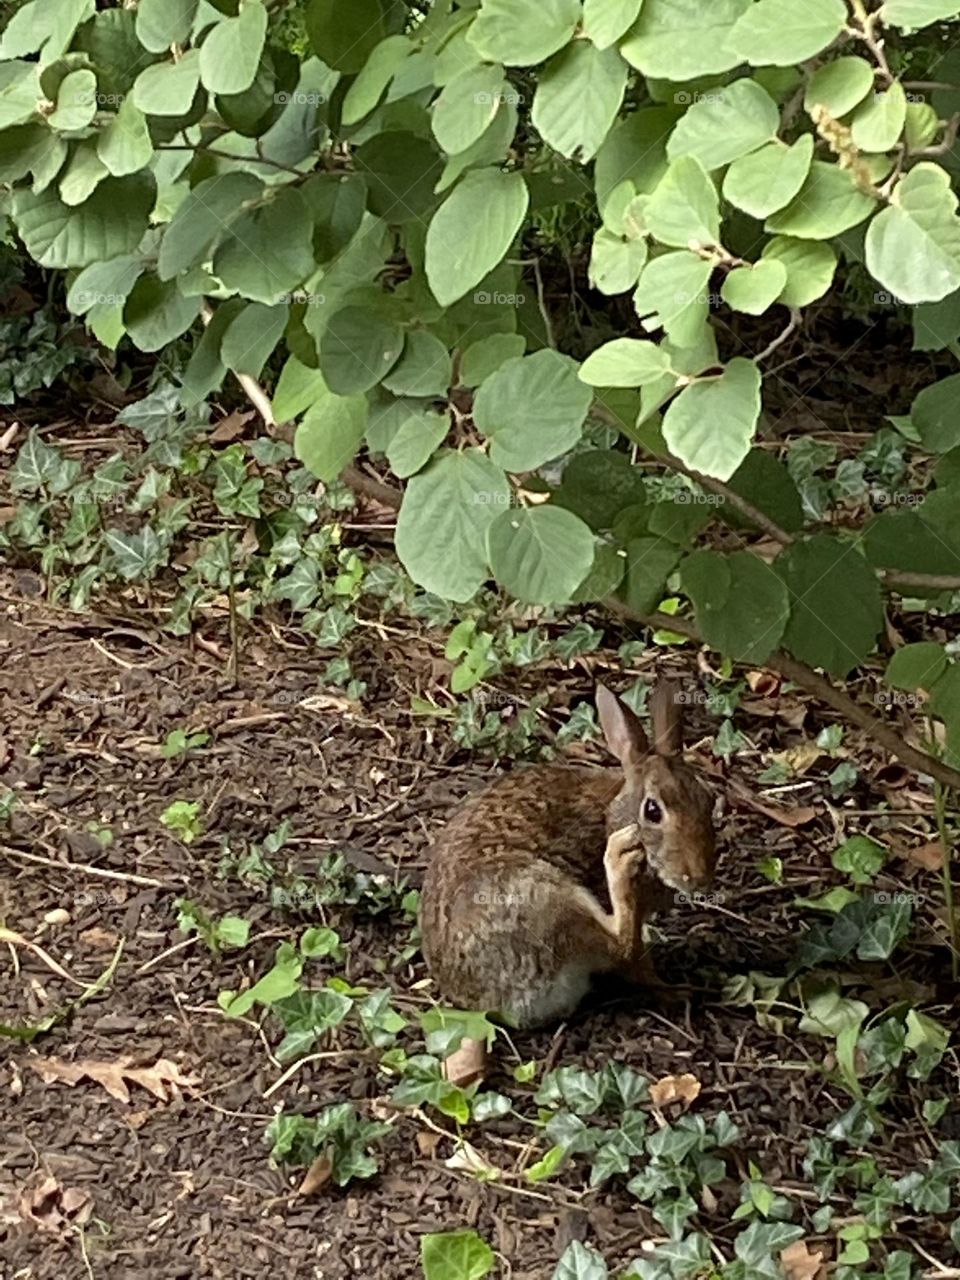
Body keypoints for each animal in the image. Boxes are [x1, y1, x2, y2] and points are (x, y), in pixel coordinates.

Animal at [419, 678, 717, 1029]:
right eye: (653, 811)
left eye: (709, 799)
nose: (698, 878)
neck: (613, 816)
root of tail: (500, 1003)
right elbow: (635, 959)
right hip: (548, 900)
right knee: (620, 945)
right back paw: (619, 859)